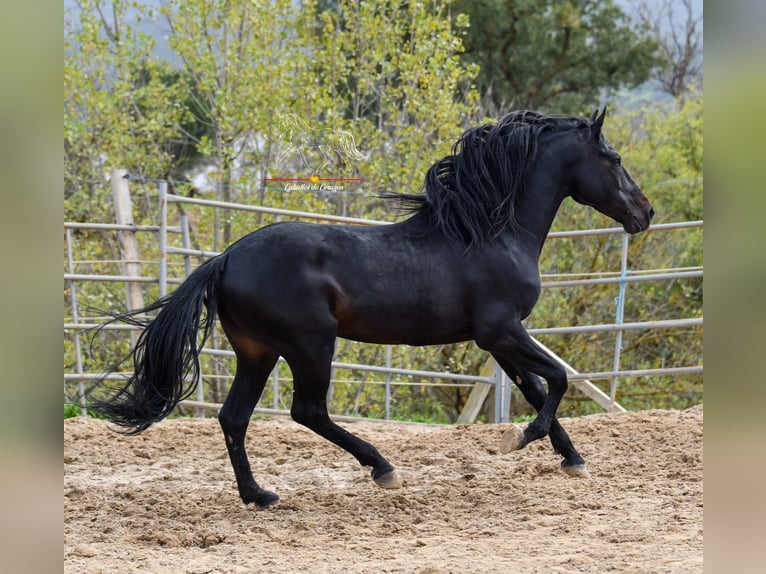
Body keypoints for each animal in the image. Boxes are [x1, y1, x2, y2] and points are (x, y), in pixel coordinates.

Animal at [91, 108, 656, 508]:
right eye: (614, 159)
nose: (645, 213)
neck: (490, 233)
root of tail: (225, 258)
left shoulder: (498, 339)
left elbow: (538, 387)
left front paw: (572, 460)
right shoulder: (500, 331)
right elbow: (557, 380)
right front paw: (522, 439)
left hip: (258, 352)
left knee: (234, 417)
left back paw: (259, 496)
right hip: (310, 345)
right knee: (307, 411)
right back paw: (382, 469)